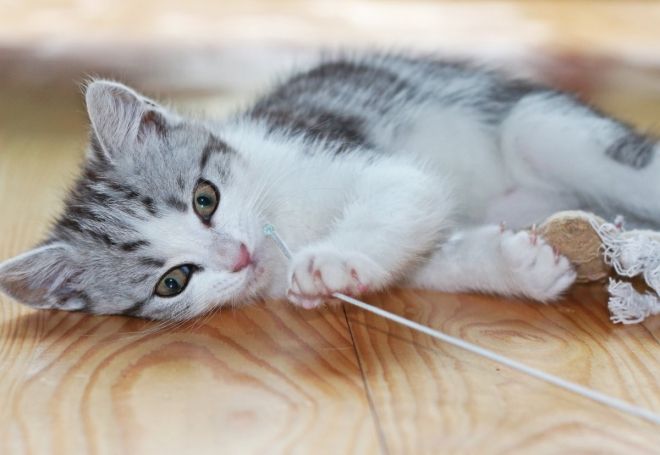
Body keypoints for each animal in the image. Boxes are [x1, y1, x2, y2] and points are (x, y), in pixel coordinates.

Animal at [1, 54, 660, 320]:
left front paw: (332, 260)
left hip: (539, 124)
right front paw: (516, 265)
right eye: (173, 282)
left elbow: (405, 194)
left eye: (205, 198)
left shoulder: (355, 155)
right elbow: (431, 252)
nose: (239, 256)